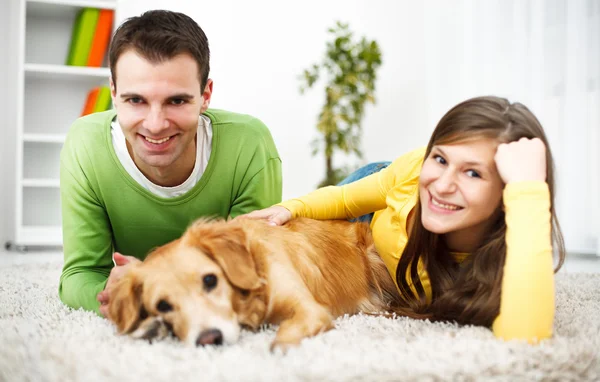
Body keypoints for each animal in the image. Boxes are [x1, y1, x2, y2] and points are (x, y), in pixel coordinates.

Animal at [109, 218, 398, 352]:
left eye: (210, 280)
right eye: (163, 305)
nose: (209, 339)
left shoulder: (310, 309)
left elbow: (287, 330)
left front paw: (281, 348)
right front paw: (150, 327)